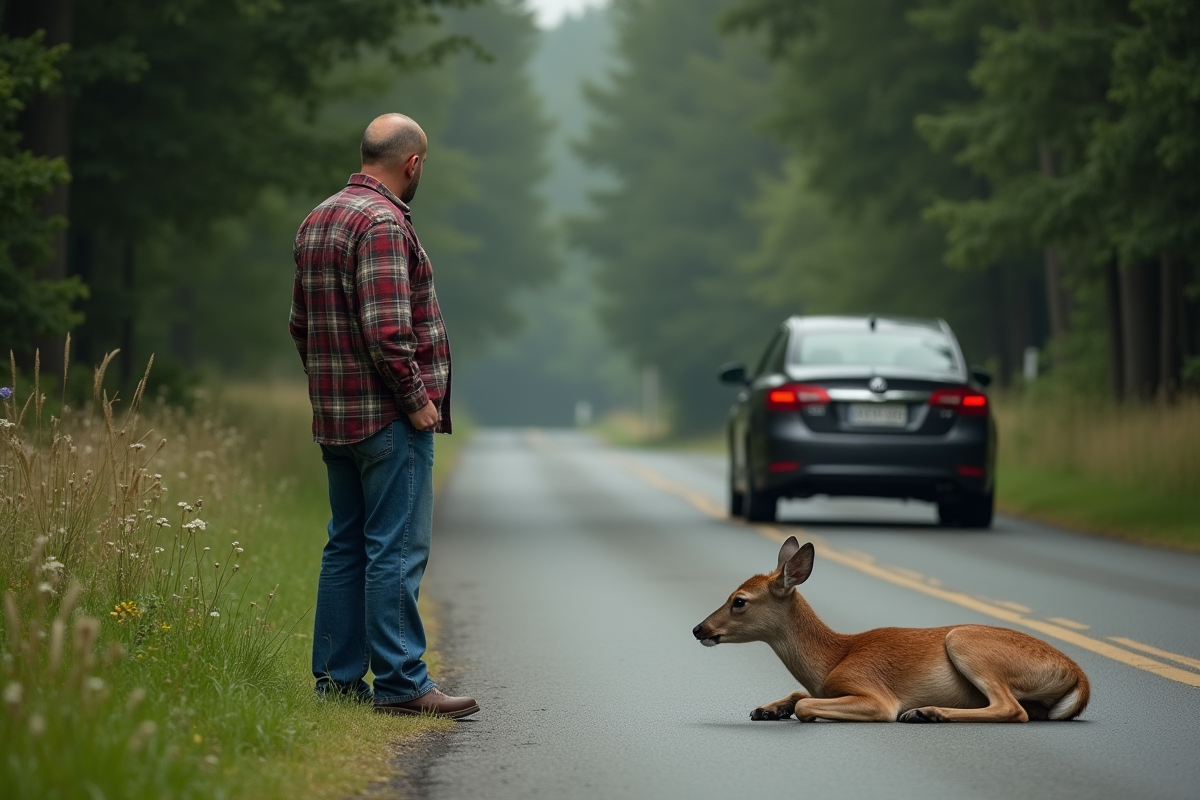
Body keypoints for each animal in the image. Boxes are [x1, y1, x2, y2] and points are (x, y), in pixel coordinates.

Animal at [692, 537, 1090, 723]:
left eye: (739, 600)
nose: (698, 629)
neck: (830, 660)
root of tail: (1078, 675)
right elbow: (797, 694)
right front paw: (767, 709)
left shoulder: (874, 692)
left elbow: (805, 704)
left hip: (966, 641)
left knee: (1011, 708)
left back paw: (927, 713)